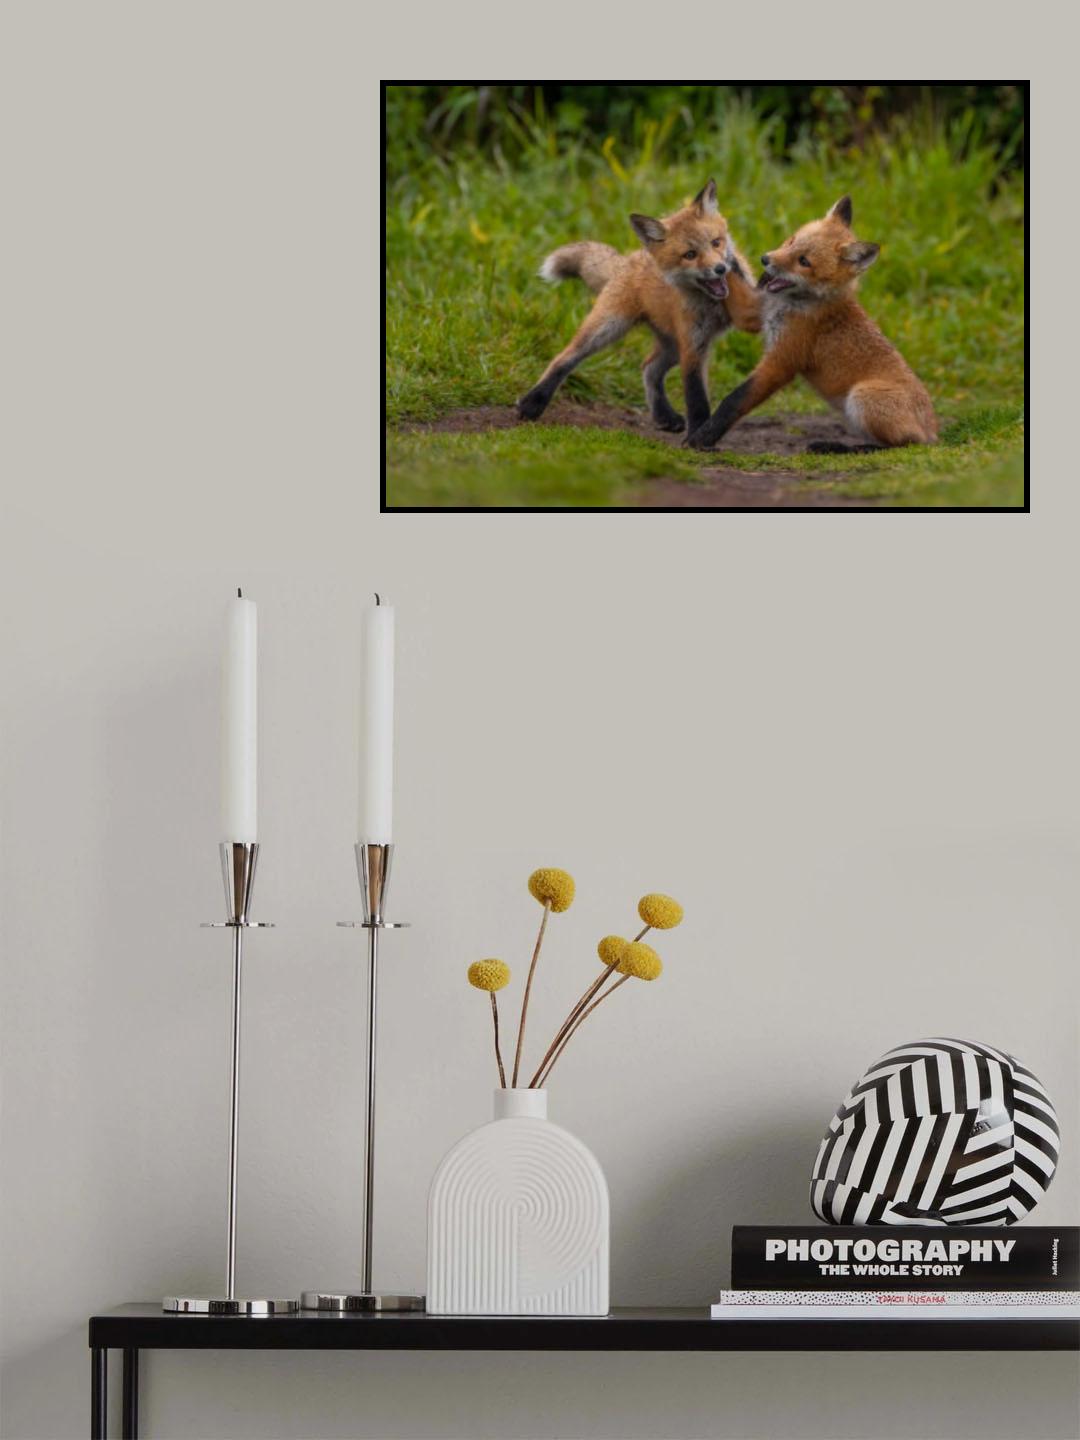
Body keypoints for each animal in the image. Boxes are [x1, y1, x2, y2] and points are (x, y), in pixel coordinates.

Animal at [516, 180, 761, 436]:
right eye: (690, 255)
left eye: (716, 242)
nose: (721, 268)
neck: (712, 305)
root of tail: (627, 260)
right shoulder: (693, 346)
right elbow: (696, 397)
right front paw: (698, 434)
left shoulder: (747, 312)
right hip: (609, 328)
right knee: (564, 358)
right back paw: (533, 402)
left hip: (671, 346)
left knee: (648, 368)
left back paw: (664, 416)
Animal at [686, 195, 937, 453]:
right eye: (792, 241)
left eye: (804, 261)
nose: (765, 259)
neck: (790, 304)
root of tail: (933, 434)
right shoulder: (753, 313)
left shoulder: (782, 361)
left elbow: (735, 400)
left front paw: (702, 437)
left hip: (862, 397)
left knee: (899, 446)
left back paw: (837, 447)